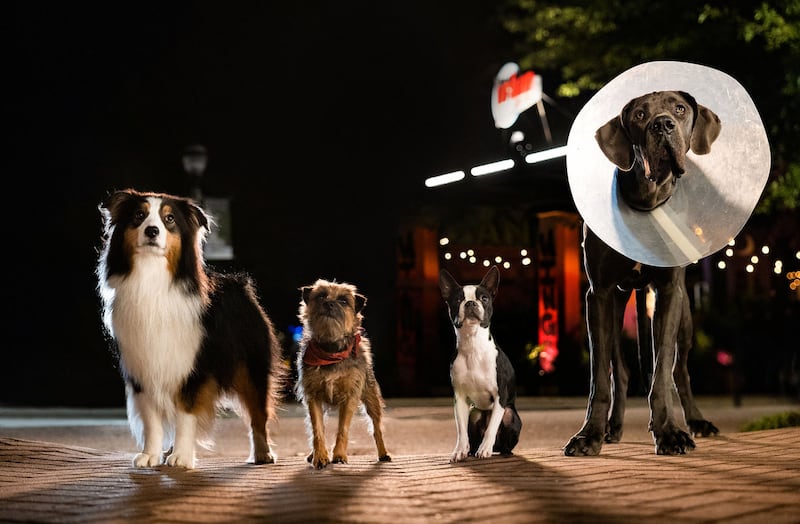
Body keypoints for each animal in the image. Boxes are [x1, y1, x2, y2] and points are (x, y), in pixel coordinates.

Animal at [97, 190, 286, 468]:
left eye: (170, 219)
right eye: (139, 215)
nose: (152, 230)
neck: (152, 280)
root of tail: (239, 284)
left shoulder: (193, 368)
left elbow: (186, 414)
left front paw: (182, 458)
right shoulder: (143, 367)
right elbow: (152, 420)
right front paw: (151, 454)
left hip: (251, 366)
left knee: (257, 413)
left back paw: (263, 454)